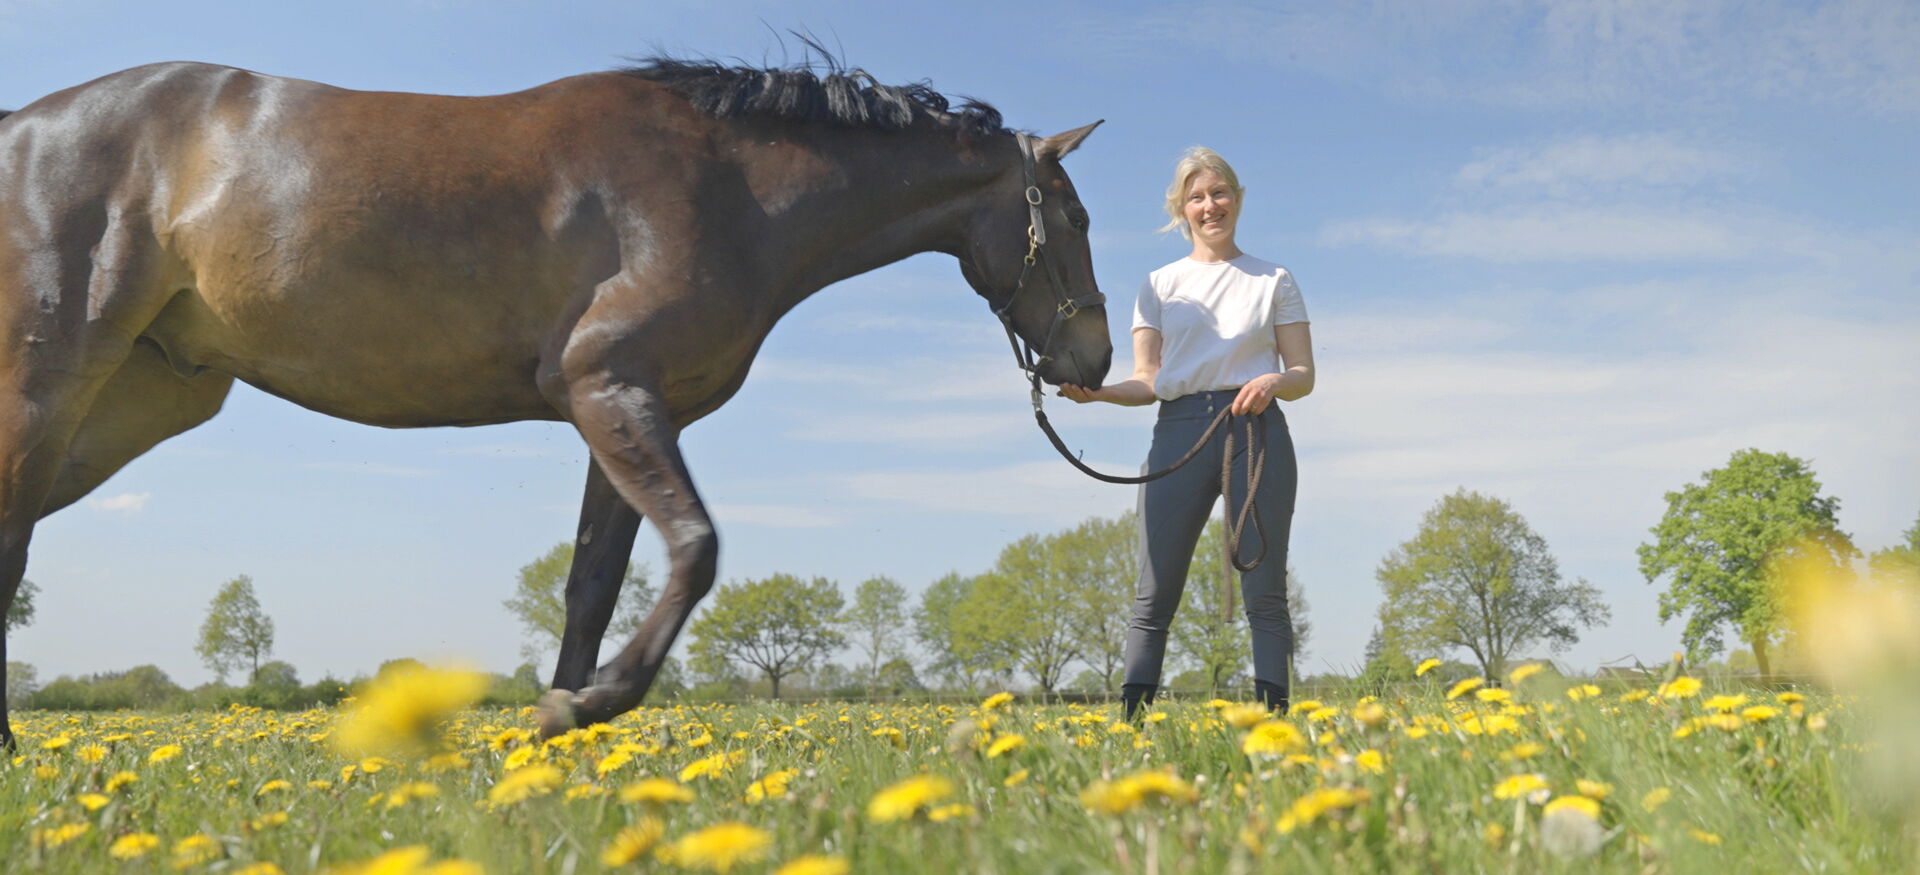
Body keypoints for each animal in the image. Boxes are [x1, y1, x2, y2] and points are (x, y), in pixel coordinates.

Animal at [0, 57, 1111, 748]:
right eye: (1074, 216)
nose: (1094, 356)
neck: (724, 187)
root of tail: (24, 125)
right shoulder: (607, 385)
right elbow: (697, 548)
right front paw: (592, 704)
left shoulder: (624, 412)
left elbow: (593, 583)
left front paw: (551, 728)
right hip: (49, 382)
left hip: (140, 402)